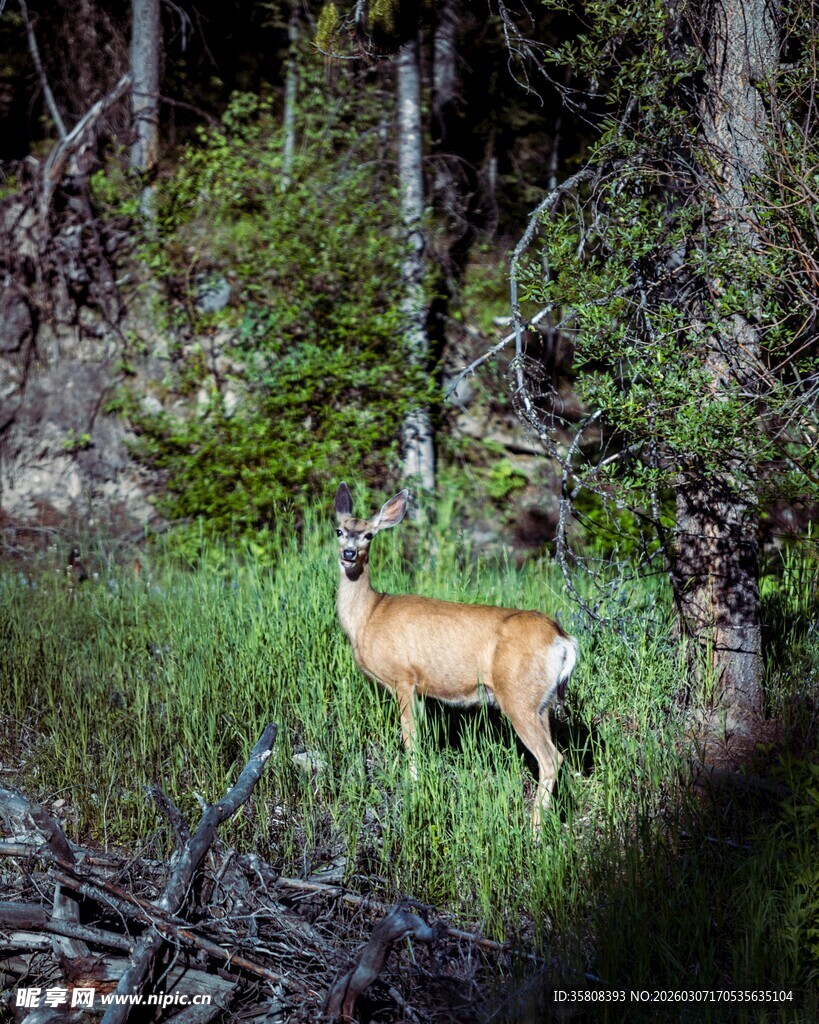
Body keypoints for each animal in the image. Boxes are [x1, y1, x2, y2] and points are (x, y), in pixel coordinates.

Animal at [333, 481, 577, 832]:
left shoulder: (404, 677)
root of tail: (562, 639)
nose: (349, 554)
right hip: (540, 702)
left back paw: (534, 832)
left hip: (517, 697)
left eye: (368, 535)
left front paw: (413, 788)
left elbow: (411, 739)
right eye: (339, 530)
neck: (368, 616)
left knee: (550, 758)